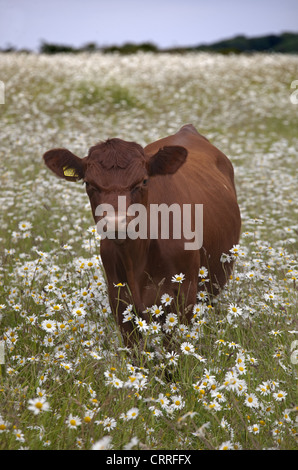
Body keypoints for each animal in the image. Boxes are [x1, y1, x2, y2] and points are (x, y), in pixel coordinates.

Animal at [43, 124, 240, 346]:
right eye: (88, 184)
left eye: (144, 181)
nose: (116, 223)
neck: (136, 259)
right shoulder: (120, 300)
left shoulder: (184, 294)